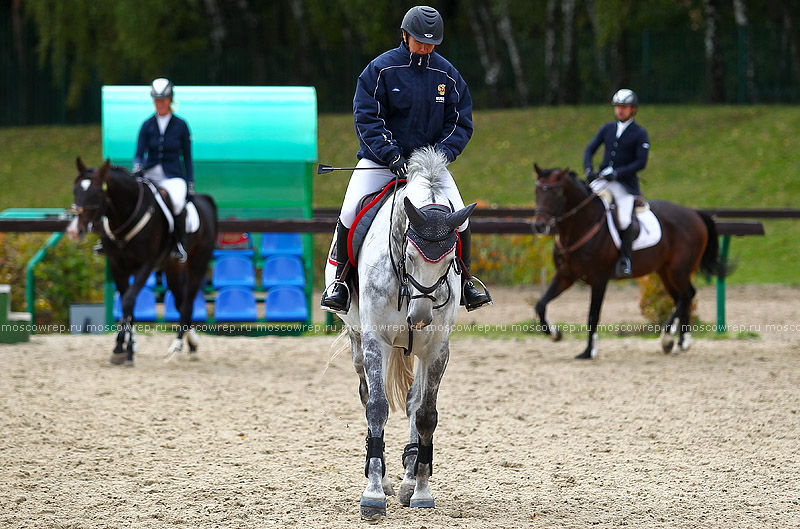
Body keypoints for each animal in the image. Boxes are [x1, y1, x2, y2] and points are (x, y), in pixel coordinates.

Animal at [67, 157, 217, 364]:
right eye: (75, 190)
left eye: (97, 192)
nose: (75, 230)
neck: (124, 217)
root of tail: (205, 200)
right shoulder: (117, 266)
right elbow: (126, 302)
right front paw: (126, 347)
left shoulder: (145, 265)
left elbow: (129, 300)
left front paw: (122, 348)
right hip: (171, 267)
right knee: (179, 300)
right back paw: (192, 343)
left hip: (197, 263)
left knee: (188, 302)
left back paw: (177, 346)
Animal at [324, 146, 476, 516]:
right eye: (409, 252)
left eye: (452, 257)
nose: (419, 318)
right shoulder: (374, 341)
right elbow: (377, 407)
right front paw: (374, 494)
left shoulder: (436, 349)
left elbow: (425, 415)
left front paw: (420, 491)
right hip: (356, 341)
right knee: (367, 396)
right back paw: (384, 478)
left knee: (412, 402)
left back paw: (407, 478)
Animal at [532, 165, 732, 358]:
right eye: (537, 190)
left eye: (557, 192)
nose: (539, 225)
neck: (579, 228)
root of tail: (694, 213)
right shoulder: (565, 276)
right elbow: (540, 305)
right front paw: (555, 334)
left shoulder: (599, 280)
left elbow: (592, 315)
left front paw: (589, 351)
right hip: (665, 271)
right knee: (682, 297)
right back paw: (680, 342)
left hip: (679, 270)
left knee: (686, 295)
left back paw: (668, 339)